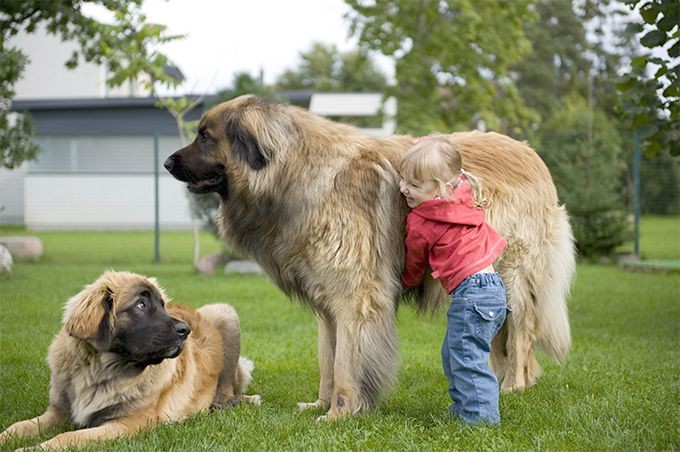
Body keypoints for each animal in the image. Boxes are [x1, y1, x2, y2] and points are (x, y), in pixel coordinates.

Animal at [0, 270, 260, 450]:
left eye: (162, 306)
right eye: (141, 304)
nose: (186, 330)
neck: (99, 371)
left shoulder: (124, 423)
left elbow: (67, 437)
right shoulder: (56, 413)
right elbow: (17, 426)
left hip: (225, 313)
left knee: (225, 391)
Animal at [163, 94, 572, 420]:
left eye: (205, 135)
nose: (167, 163)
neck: (294, 172)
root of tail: (531, 153)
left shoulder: (356, 298)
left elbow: (347, 363)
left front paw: (339, 413)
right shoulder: (328, 304)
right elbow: (328, 359)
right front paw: (320, 404)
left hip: (513, 276)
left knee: (520, 334)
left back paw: (514, 385)